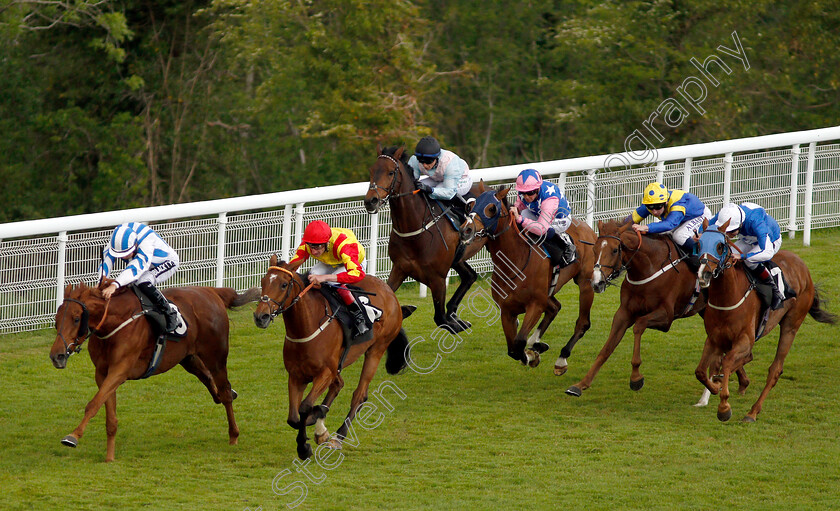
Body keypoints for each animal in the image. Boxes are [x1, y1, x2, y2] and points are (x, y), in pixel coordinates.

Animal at [49, 282, 260, 462]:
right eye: (56, 321)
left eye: (76, 319)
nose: (56, 356)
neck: (115, 322)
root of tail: (212, 291)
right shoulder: (102, 374)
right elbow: (108, 413)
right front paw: (109, 457)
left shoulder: (120, 370)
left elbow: (93, 404)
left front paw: (73, 436)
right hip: (189, 358)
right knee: (212, 384)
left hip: (215, 357)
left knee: (224, 392)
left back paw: (233, 435)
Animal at [254, 256, 416, 460]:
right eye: (263, 282)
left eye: (283, 285)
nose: (260, 316)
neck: (306, 326)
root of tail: (390, 292)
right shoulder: (296, 375)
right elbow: (293, 417)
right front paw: (317, 426)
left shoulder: (324, 373)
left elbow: (305, 407)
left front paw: (304, 447)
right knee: (338, 384)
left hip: (376, 350)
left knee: (359, 395)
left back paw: (338, 437)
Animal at [364, 146, 488, 334]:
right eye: (371, 171)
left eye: (391, 172)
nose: (370, 201)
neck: (414, 230)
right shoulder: (400, 268)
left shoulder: (437, 278)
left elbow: (440, 318)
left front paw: (454, 324)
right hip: (457, 258)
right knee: (470, 276)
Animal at [460, 188, 596, 372]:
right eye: (471, 206)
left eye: (491, 208)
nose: (466, 230)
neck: (515, 262)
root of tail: (589, 229)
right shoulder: (507, 310)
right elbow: (513, 349)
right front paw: (533, 352)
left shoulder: (535, 305)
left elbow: (519, 342)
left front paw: (532, 355)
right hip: (549, 292)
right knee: (555, 307)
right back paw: (537, 343)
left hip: (585, 283)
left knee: (582, 323)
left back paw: (561, 358)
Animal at [696, 218, 832, 422]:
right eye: (698, 244)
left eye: (720, 246)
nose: (703, 274)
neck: (728, 297)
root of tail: (803, 268)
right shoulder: (714, 338)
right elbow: (701, 371)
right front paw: (715, 387)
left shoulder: (745, 339)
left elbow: (726, 362)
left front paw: (724, 407)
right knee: (742, 359)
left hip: (791, 325)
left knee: (774, 370)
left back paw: (752, 412)